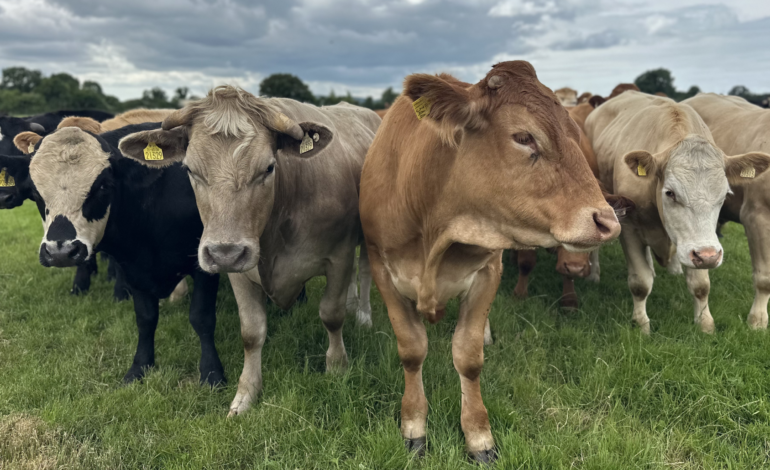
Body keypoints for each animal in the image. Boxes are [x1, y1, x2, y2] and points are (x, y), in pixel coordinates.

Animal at [9, 122, 225, 386]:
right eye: (35, 193)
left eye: (103, 186)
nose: (60, 251)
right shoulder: (134, 267)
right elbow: (145, 318)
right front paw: (140, 367)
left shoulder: (205, 264)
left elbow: (201, 317)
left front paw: (212, 373)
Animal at [118, 86, 378, 417]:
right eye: (190, 169)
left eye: (268, 167)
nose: (224, 253)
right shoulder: (240, 273)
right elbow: (252, 333)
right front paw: (246, 394)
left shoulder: (339, 256)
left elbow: (331, 315)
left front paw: (337, 368)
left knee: (365, 272)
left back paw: (363, 315)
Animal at [359, 61, 621, 463]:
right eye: (524, 137)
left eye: (575, 132)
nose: (607, 221)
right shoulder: (383, 272)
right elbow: (412, 350)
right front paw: (414, 426)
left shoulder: (487, 272)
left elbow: (468, 357)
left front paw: (478, 436)